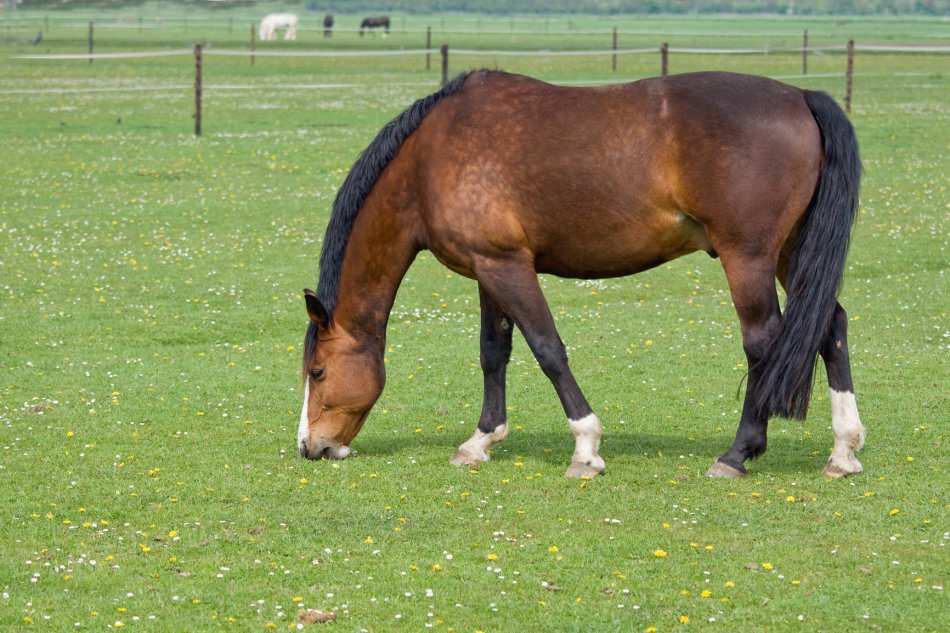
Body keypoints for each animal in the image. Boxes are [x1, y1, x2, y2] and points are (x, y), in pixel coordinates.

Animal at [300, 70, 872, 478]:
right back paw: (842, 451)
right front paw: (480, 440)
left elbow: (548, 350)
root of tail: (800, 97)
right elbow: (493, 353)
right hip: (791, 252)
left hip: (747, 257)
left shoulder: (508, 266)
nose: (311, 446)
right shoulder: (488, 269)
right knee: (830, 326)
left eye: (318, 372)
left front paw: (585, 447)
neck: (430, 159)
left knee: (763, 341)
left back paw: (737, 454)